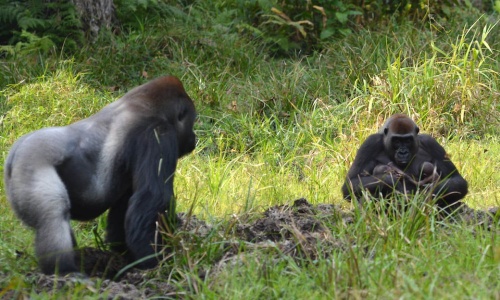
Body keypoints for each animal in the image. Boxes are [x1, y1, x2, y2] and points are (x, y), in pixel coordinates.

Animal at [3, 75, 196, 274]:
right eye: (192, 122)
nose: (194, 138)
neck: (145, 104)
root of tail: (13, 156)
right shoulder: (160, 133)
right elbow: (152, 198)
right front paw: (153, 263)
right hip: (33, 165)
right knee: (53, 216)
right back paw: (65, 270)